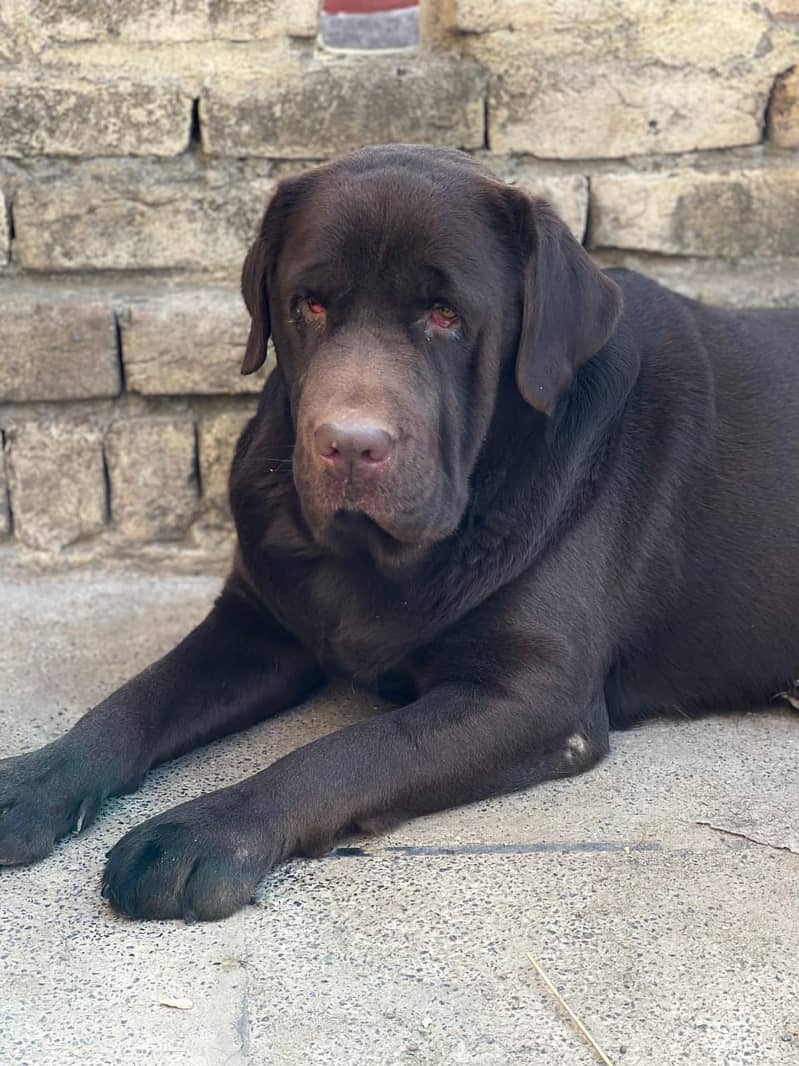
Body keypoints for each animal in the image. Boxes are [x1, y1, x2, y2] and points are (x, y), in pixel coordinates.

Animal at [1, 146, 799, 921]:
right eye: (309, 305)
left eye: (445, 316)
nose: (351, 445)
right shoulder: (257, 621)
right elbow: (139, 696)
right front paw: (39, 778)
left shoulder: (533, 695)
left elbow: (349, 749)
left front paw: (203, 834)